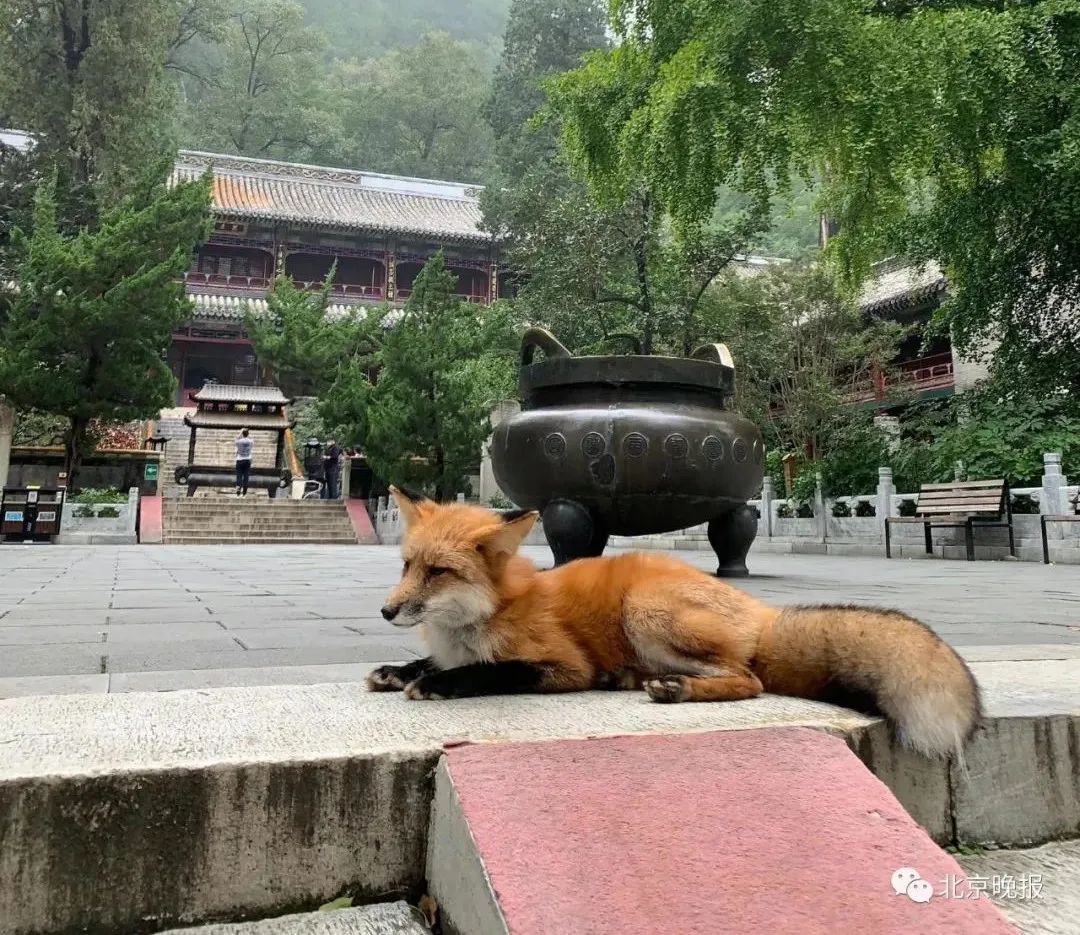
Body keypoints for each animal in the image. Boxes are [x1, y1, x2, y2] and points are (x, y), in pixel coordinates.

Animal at [369, 488, 980, 760]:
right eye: (406, 566)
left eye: (438, 572)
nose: (386, 612)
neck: (484, 615)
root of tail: (759, 610)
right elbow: (429, 661)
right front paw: (400, 670)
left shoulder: (565, 665)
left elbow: (492, 670)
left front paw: (440, 683)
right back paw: (643, 681)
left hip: (645, 611)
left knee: (750, 680)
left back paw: (678, 688)